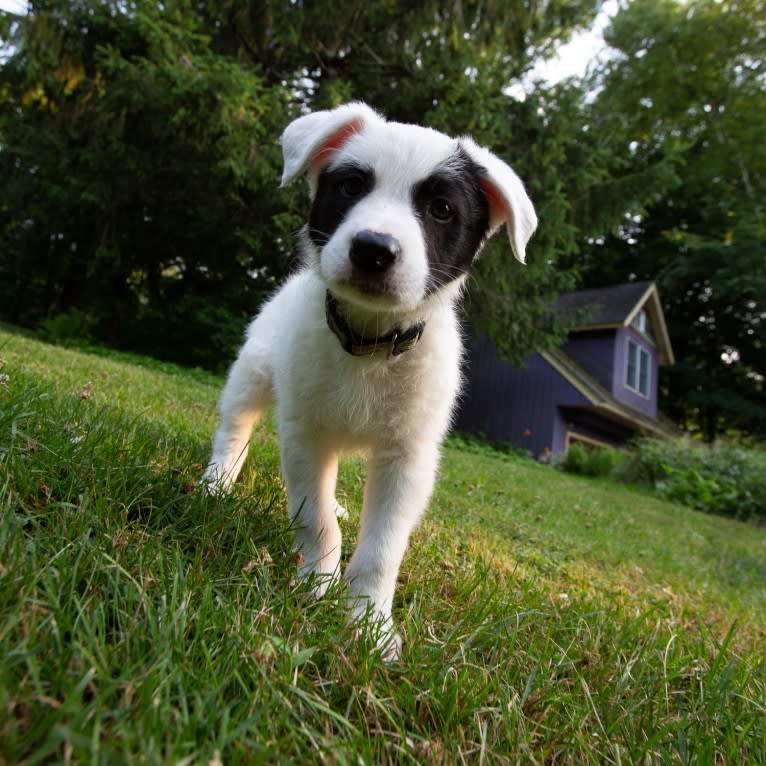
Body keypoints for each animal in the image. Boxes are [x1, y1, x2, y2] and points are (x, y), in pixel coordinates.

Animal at [207, 102, 536, 660]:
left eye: (441, 209)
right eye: (352, 185)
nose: (374, 249)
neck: (370, 342)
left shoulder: (408, 457)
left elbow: (382, 547)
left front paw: (368, 623)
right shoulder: (305, 434)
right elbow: (314, 518)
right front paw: (315, 585)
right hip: (252, 373)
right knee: (235, 428)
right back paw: (216, 482)